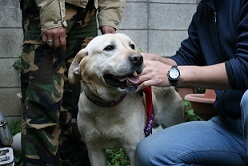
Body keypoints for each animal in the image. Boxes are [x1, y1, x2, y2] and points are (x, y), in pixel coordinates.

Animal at [68, 33, 184, 165]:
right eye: (109, 48)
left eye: (132, 46)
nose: (138, 58)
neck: (107, 105)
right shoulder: (94, 149)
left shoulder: (133, 148)